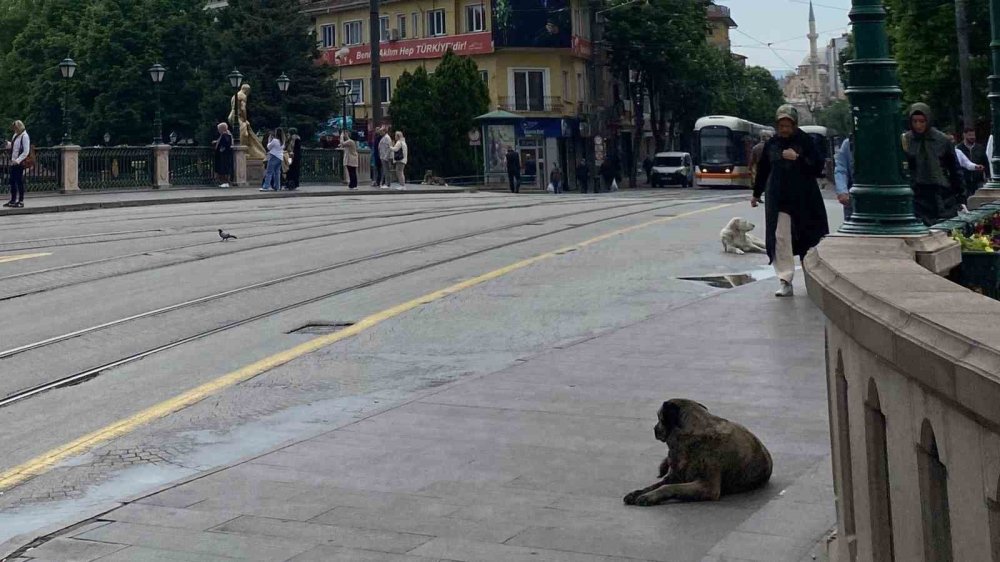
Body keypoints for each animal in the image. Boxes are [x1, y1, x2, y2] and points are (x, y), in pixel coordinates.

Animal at [624, 398, 772, 504]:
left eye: (659, 418)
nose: (654, 429)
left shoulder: (707, 487)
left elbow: (669, 487)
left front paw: (649, 496)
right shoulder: (674, 476)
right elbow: (655, 485)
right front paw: (639, 492)